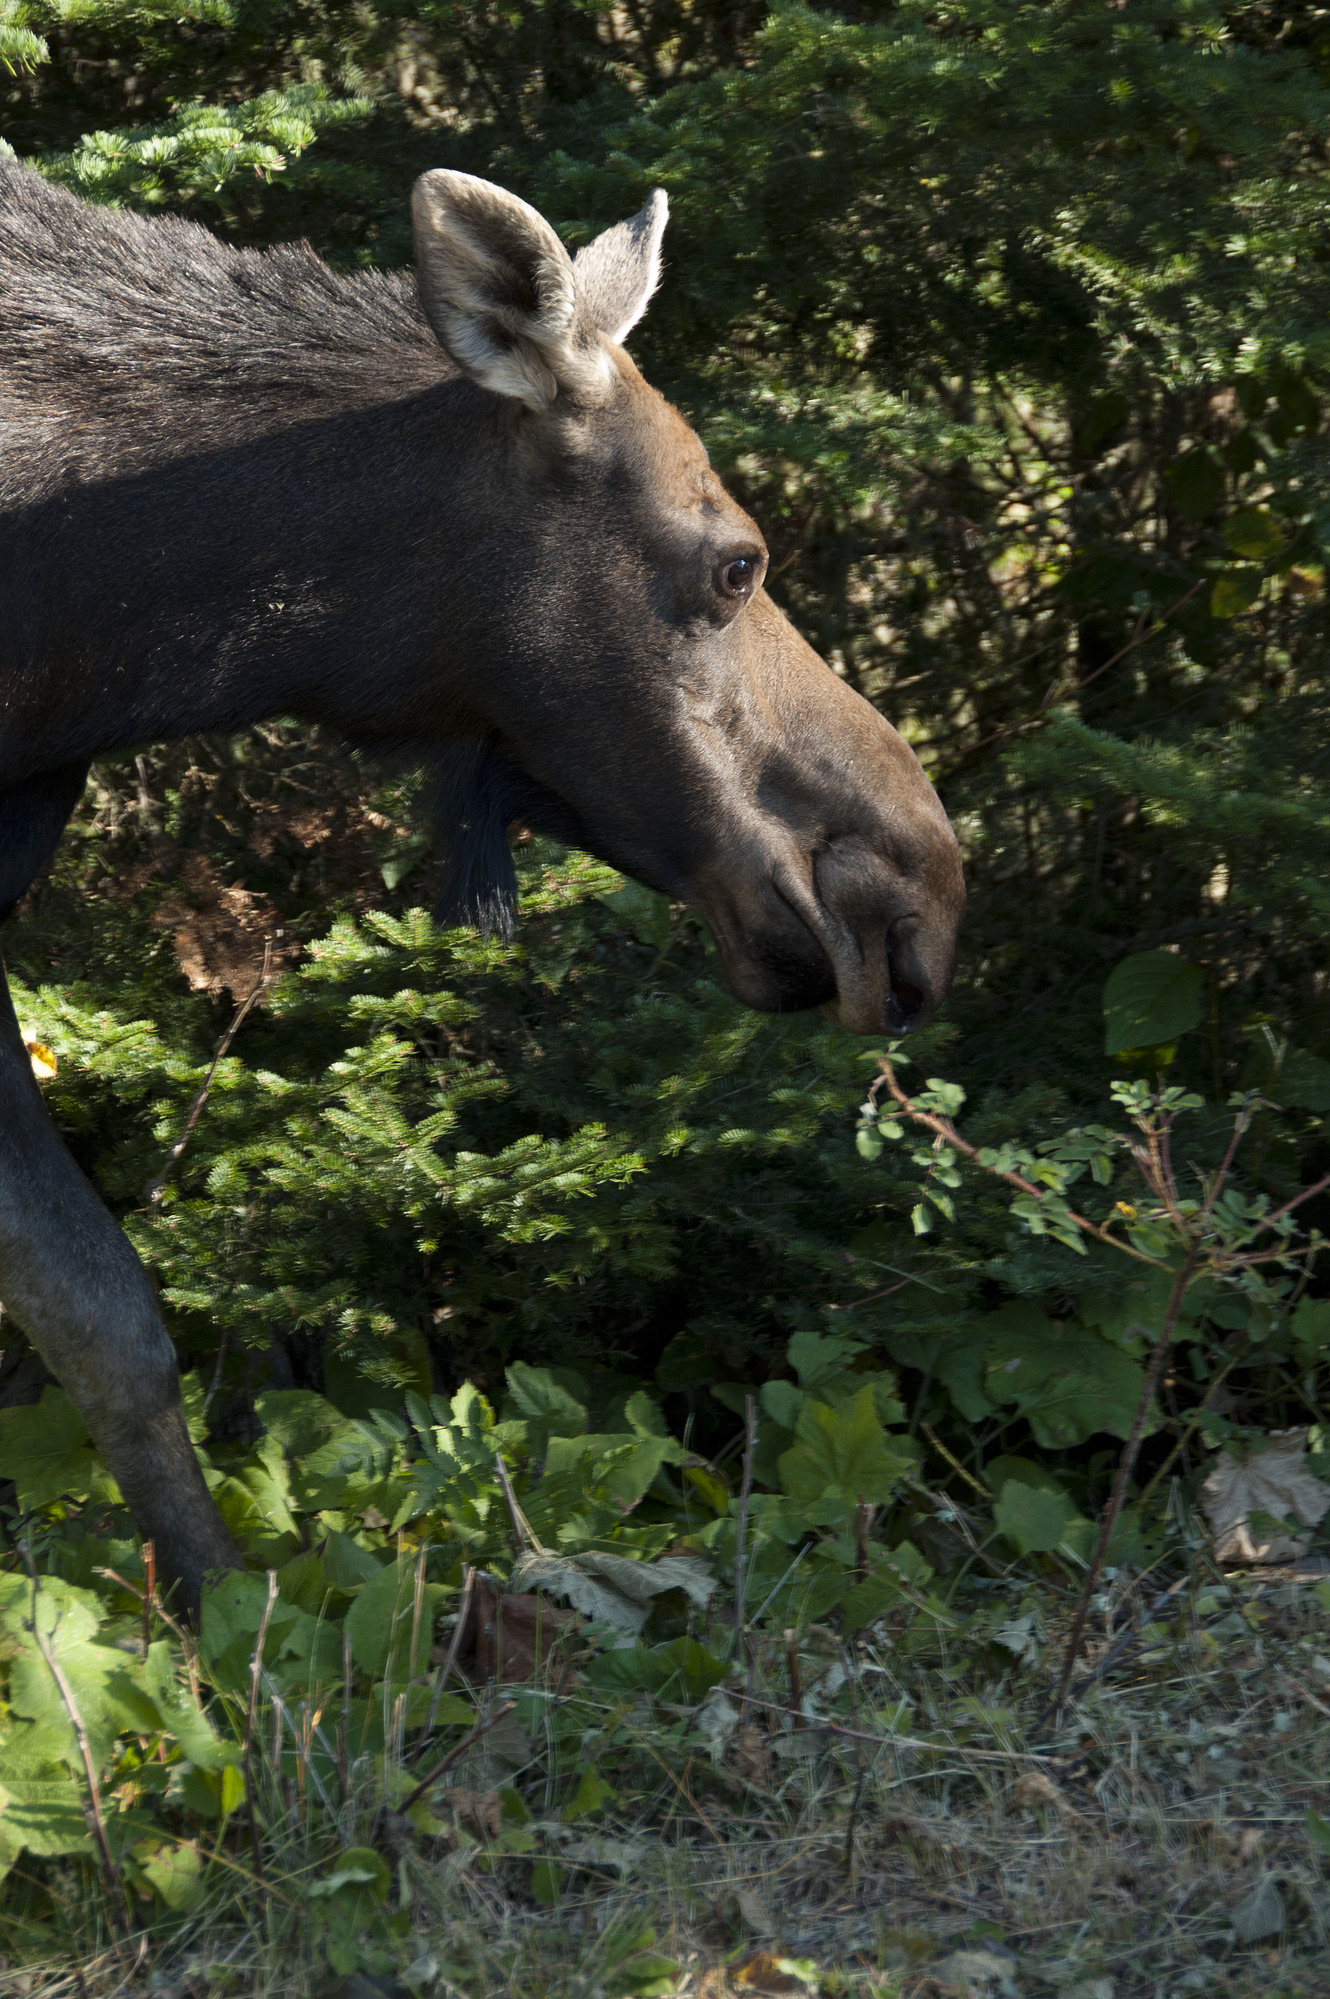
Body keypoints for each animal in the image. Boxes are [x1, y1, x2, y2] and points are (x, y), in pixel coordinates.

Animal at [0, 161, 965, 1612]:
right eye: (735, 561)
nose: (922, 892)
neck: (76, 626)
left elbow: (95, 1306)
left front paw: (218, 1607)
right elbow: (99, 1302)